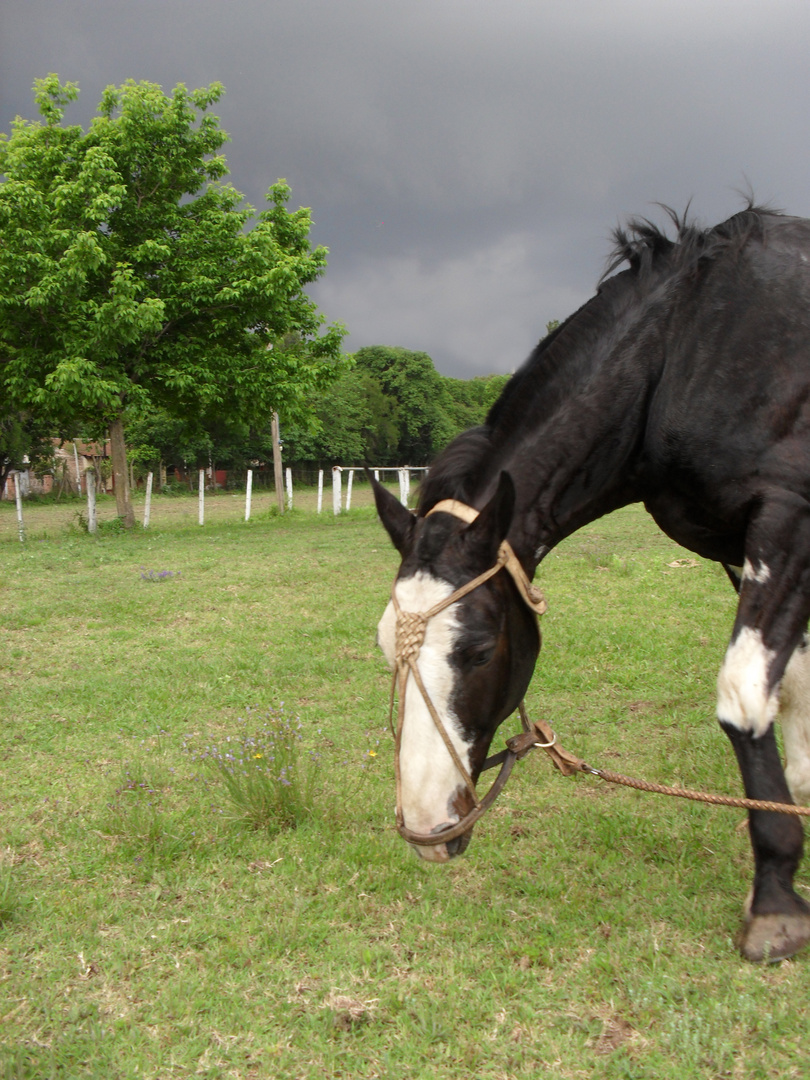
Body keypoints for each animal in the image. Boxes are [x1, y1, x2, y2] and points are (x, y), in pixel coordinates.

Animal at [373, 204, 810, 963]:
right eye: (382, 645)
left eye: (479, 649)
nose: (427, 827)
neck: (687, 342)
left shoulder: (788, 519)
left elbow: (746, 697)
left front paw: (777, 901)